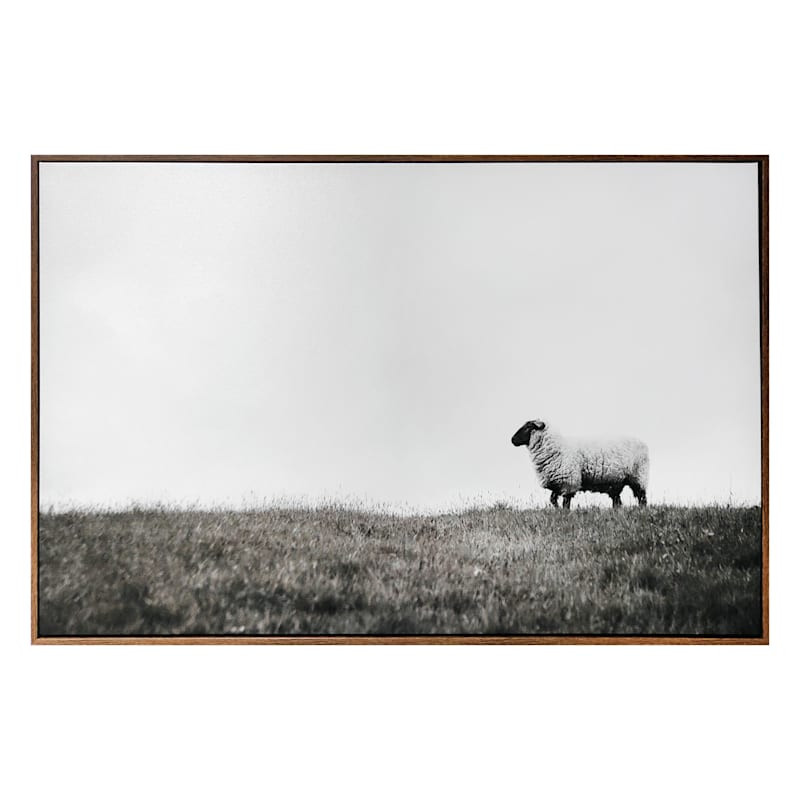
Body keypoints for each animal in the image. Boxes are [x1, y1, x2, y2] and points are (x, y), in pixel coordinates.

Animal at [511, 419, 649, 509]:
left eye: (528, 427)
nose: (512, 440)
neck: (557, 448)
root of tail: (643, 443)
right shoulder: (557, 483)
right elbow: (552, 499)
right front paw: (557, 510)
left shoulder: (569, 482)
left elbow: (565, 503)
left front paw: (564, 513)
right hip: (616, 482)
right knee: (617, 501)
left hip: (638, 476)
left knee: (642, 498)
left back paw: (642, 511)